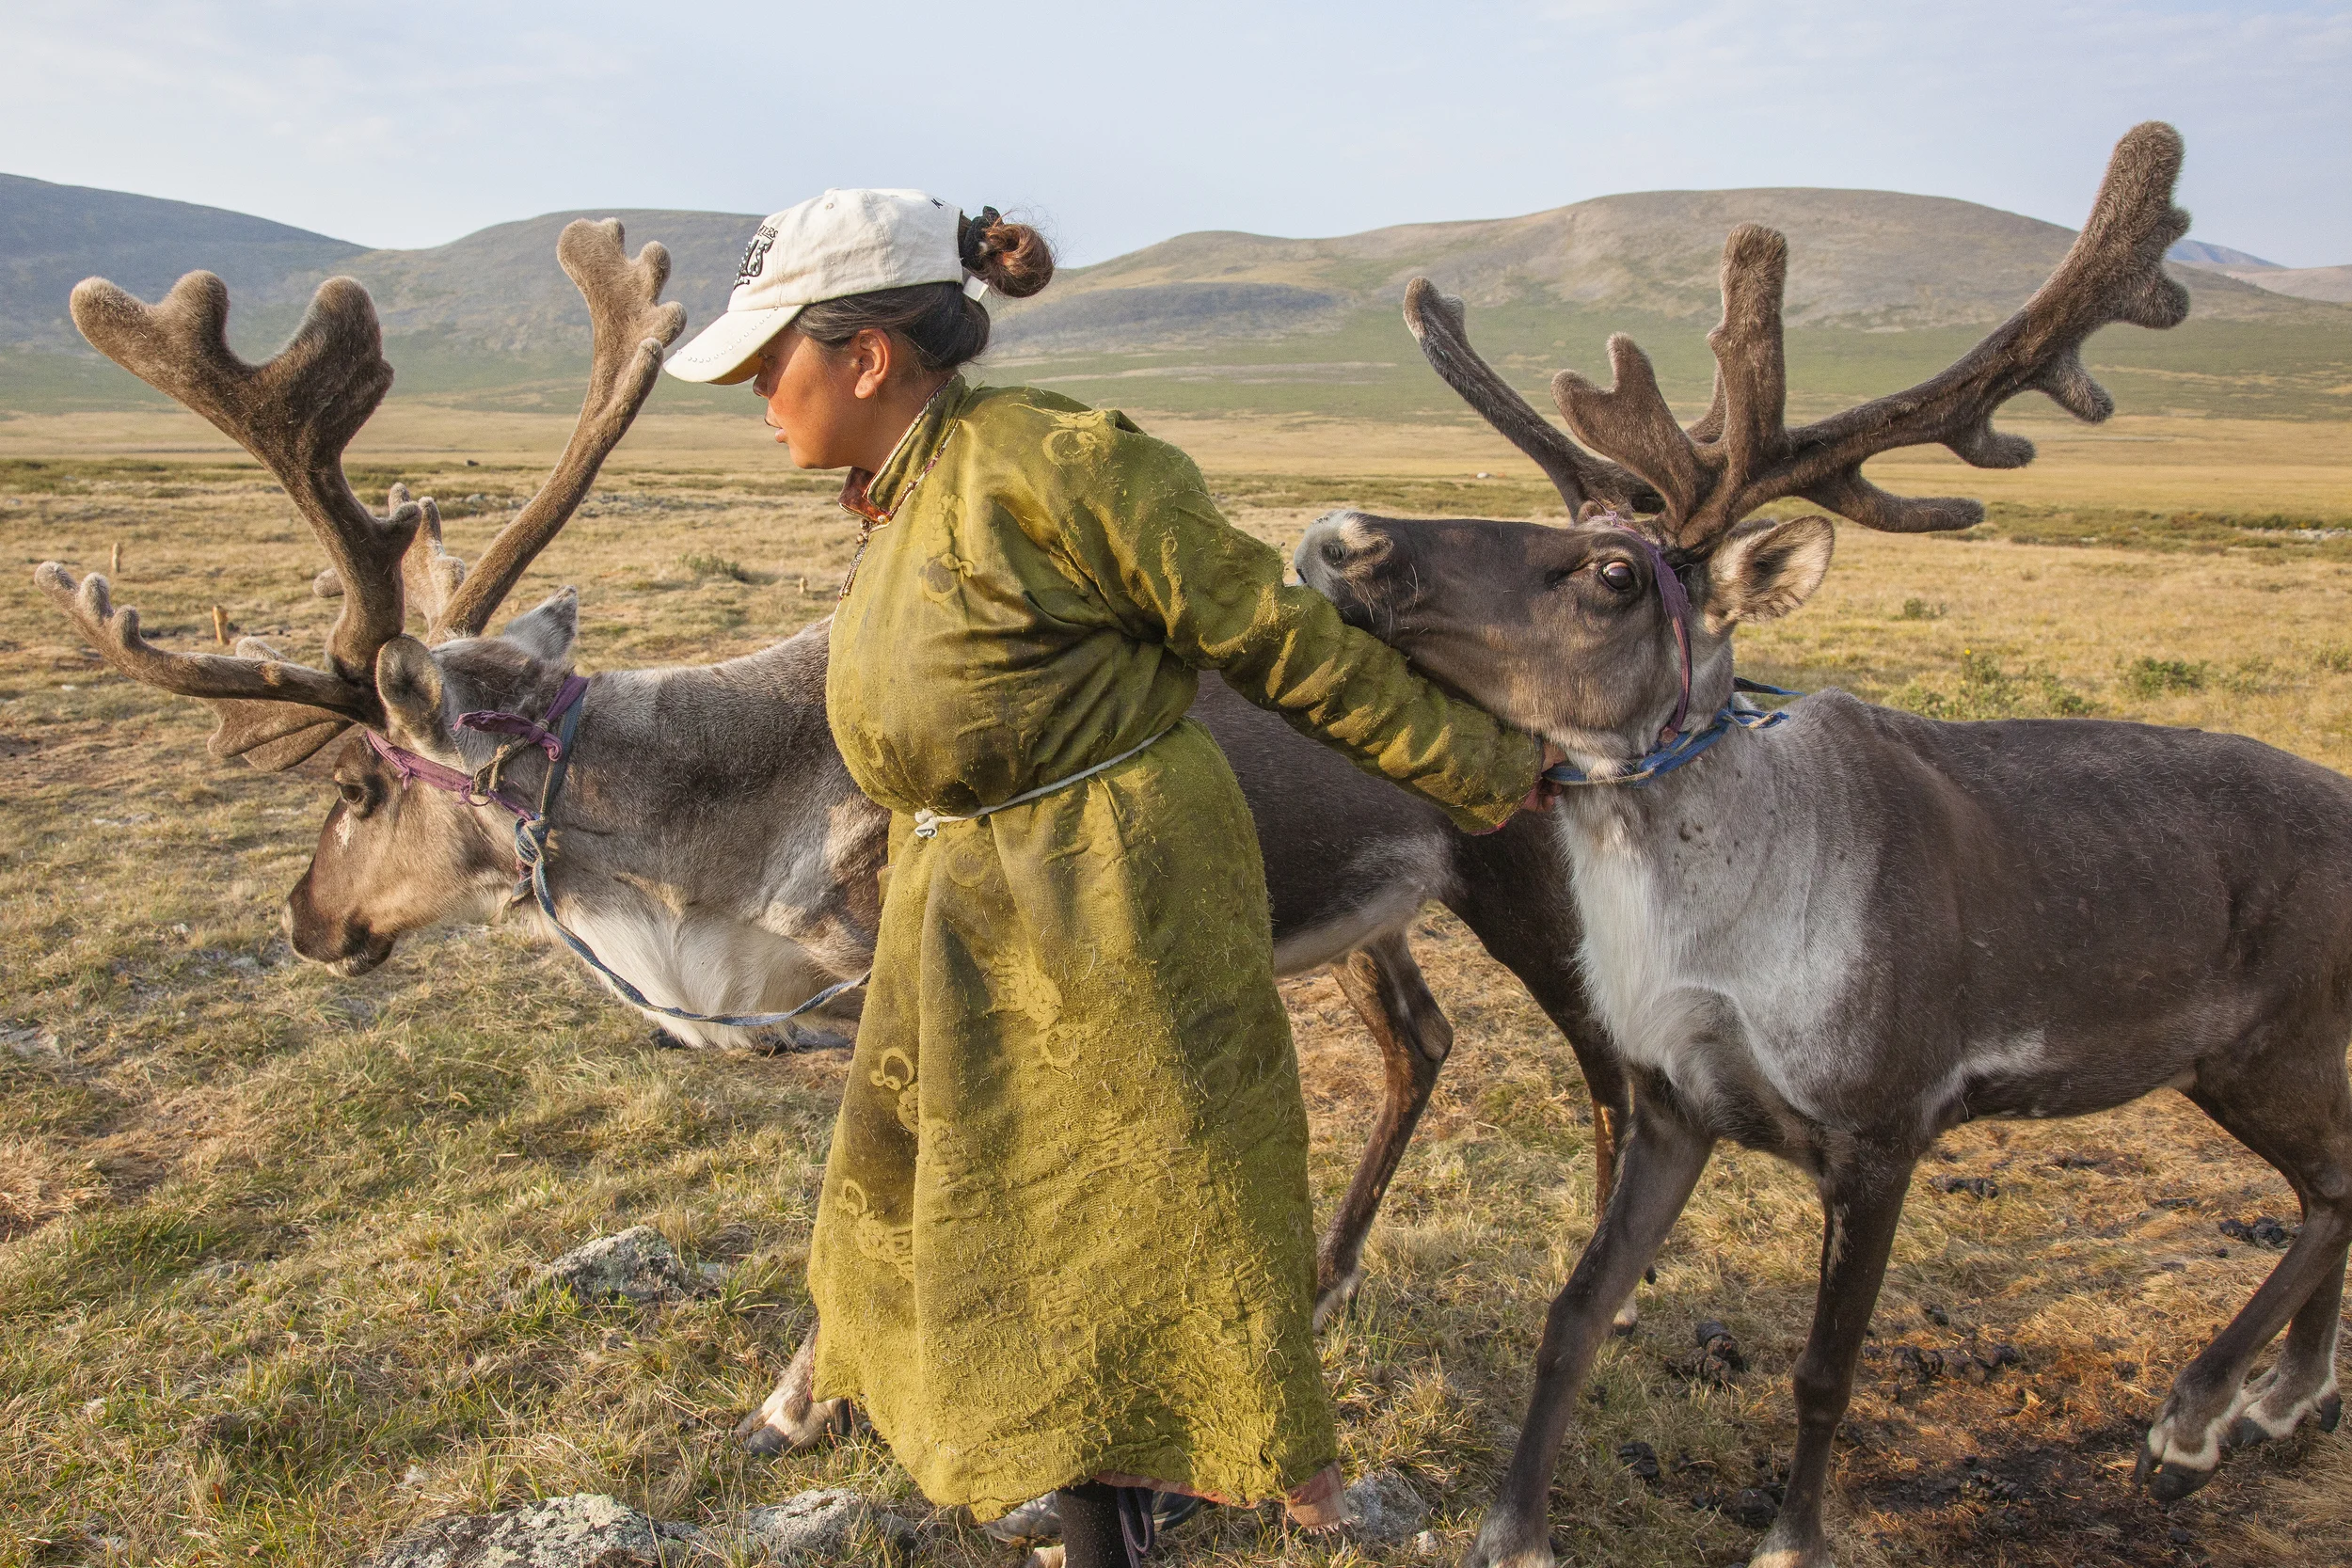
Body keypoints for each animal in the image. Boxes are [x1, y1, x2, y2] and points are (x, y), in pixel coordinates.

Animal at [1294, 123, 2351, 1568]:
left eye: (1613, 574)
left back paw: (2196, 1416)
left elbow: (1822, 1369)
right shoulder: (1677, 1103)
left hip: (2267, 1048)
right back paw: (2286, 1395)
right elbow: (1573, 1312)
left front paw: (1792, 1537)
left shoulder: (1883, 1134)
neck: (1707, 921)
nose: (1341, 534)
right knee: (2335, 1185)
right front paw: (1510, 1527)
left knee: (2337, 1185)